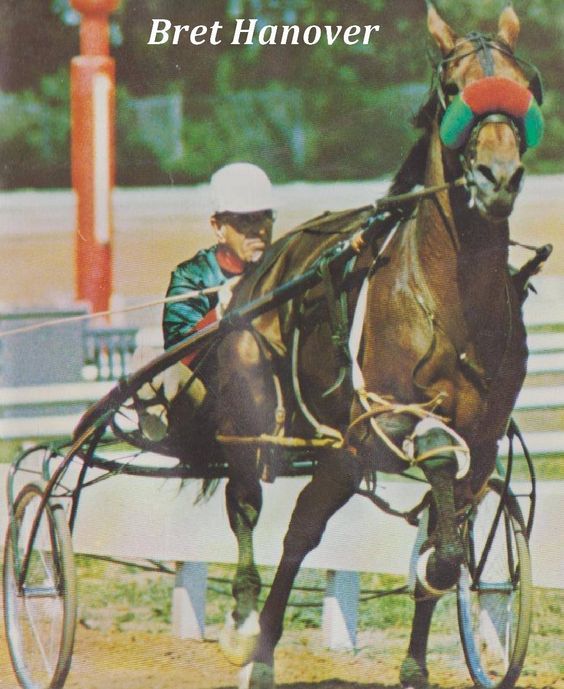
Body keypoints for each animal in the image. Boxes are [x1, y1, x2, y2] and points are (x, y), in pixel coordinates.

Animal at [210, 5, 540, 688]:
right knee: (256, 506)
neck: (452, 294)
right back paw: (250, 637)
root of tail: (262, 270)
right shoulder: (386, 417)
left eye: (524, 86)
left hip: (339, 454)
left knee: (304, 521)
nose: (499, 178)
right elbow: (435, 459)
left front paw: (416, 663)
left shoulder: (484, 440)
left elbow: (446, 545)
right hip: (261, 408)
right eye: (454, 89)